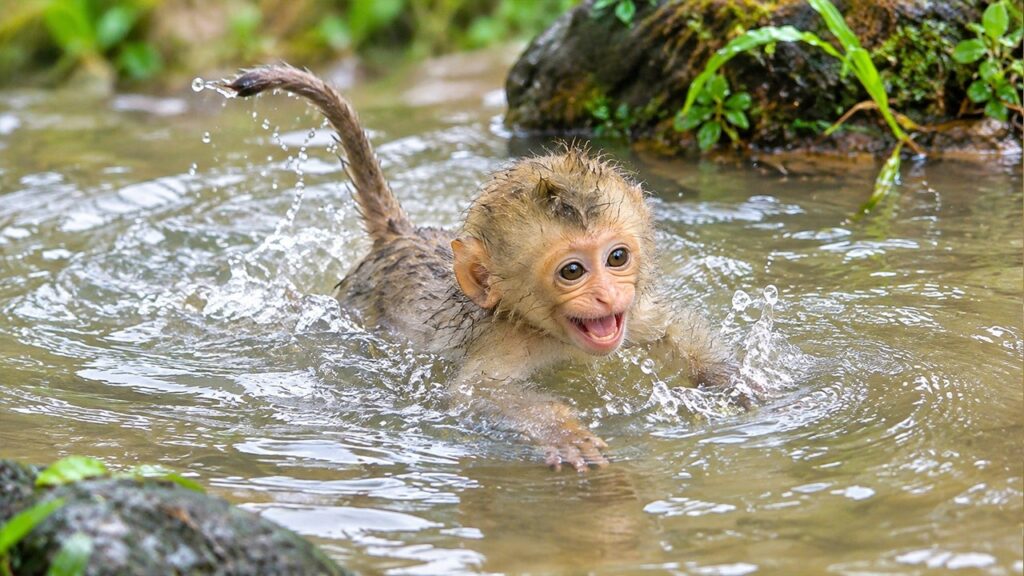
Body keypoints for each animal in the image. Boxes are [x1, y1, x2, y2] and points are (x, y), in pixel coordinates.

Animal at [222, 64, 738, 472]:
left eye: (617, 258)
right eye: (572, 271)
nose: (609, 297)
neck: (551, 334)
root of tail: (400, 235)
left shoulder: (637, 315)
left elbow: (673, 331)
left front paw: (733, 381)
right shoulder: (505, 342)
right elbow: (478, 392)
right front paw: (562, 432)